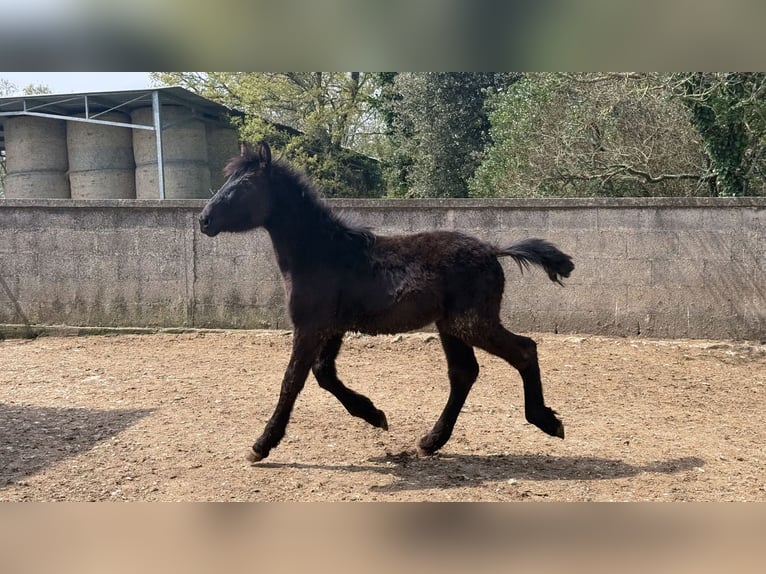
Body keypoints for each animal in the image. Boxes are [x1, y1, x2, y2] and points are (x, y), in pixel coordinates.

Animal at [198, 141, 574, 463]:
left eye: (245, 184)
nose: (204, 220)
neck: (323, 253)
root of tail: (493, 249)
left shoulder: (310, 326)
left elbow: (292, 380)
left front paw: (261, 445)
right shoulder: (332, 328)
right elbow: (324, 374)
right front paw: (374, 414)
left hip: (472, 323)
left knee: (523, 350)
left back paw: (547, 421)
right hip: (451, 325)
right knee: (464, 372)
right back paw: (431, 441)